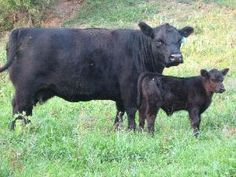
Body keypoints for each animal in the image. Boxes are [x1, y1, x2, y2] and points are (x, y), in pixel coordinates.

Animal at [0, 22, 194, 130]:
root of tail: (22, 31)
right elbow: (131, 110)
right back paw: (16, 131)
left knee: (25, 111)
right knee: (18, 109)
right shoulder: (129, 88)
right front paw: (132, 131)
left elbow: (120, 112)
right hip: (24, 89)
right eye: (158, 41)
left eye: (179, 40)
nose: (176, 57)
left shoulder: (120, 93)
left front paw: (117, 130)